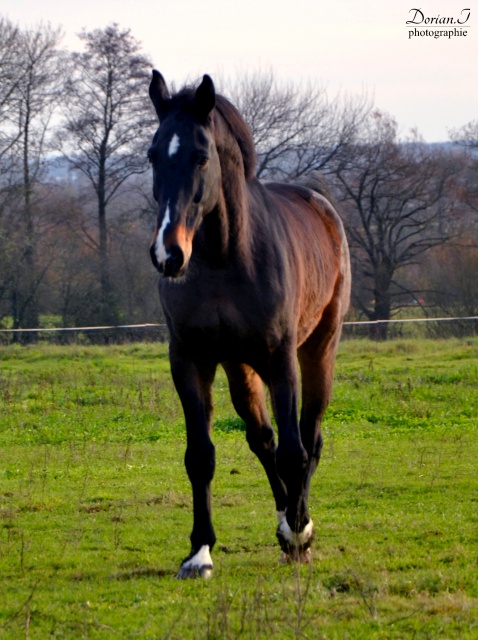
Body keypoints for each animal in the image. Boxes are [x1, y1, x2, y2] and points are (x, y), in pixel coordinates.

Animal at [148, 71, 350, 580]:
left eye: (201, 156)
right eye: (153, 155)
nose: (168, 254)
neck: (224, 259)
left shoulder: (280, 358)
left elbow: (296, 451)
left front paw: (299, 535)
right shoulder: (190, 360)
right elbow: (201, 455)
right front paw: (199, 552)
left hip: (319, 350)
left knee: (309, 436)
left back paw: (298, 526)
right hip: (240, 368)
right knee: (263, 439)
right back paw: (283, 519)